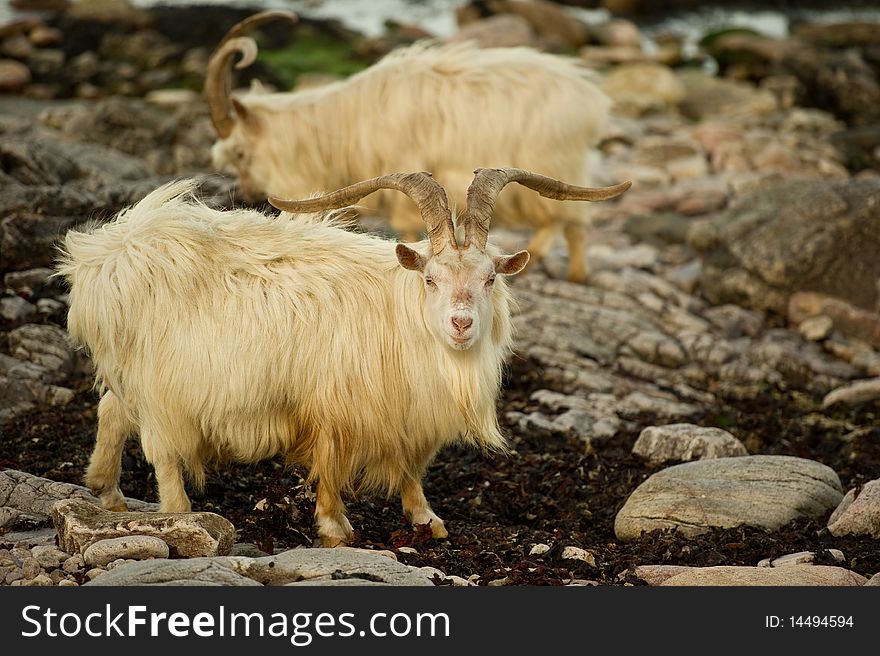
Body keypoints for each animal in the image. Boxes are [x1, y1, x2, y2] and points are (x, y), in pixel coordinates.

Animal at [58, 168, 628, 544]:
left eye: (490, 278)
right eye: (430, 279)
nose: (462, 323)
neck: (397, 315)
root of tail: (107, 253)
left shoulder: (407, 414)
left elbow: (411, 467)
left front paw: (426, 519)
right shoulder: (334, 407)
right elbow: (331, 466)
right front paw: (336, 528)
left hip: (132, 374)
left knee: (111, 410)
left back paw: (105, 491)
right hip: (162, 385)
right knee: (162, 451)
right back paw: (183, 516)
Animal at [211, 10, 616, 282]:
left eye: (241, 153)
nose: (248, 193)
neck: (342, 123)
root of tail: (591, 98)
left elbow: (407, 226)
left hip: (557, 164)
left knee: (568, 220)